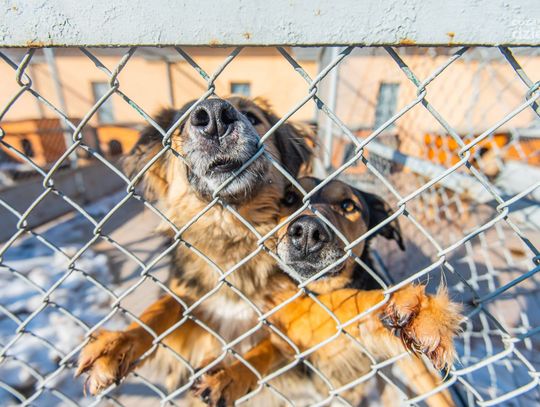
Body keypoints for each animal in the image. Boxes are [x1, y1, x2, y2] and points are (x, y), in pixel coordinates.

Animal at [192, 177, 463, 406]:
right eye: (290, 198)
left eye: (348, 205)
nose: (307, 232)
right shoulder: (288, 337)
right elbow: (262, 350)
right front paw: (228, 375)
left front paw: (417, 313)